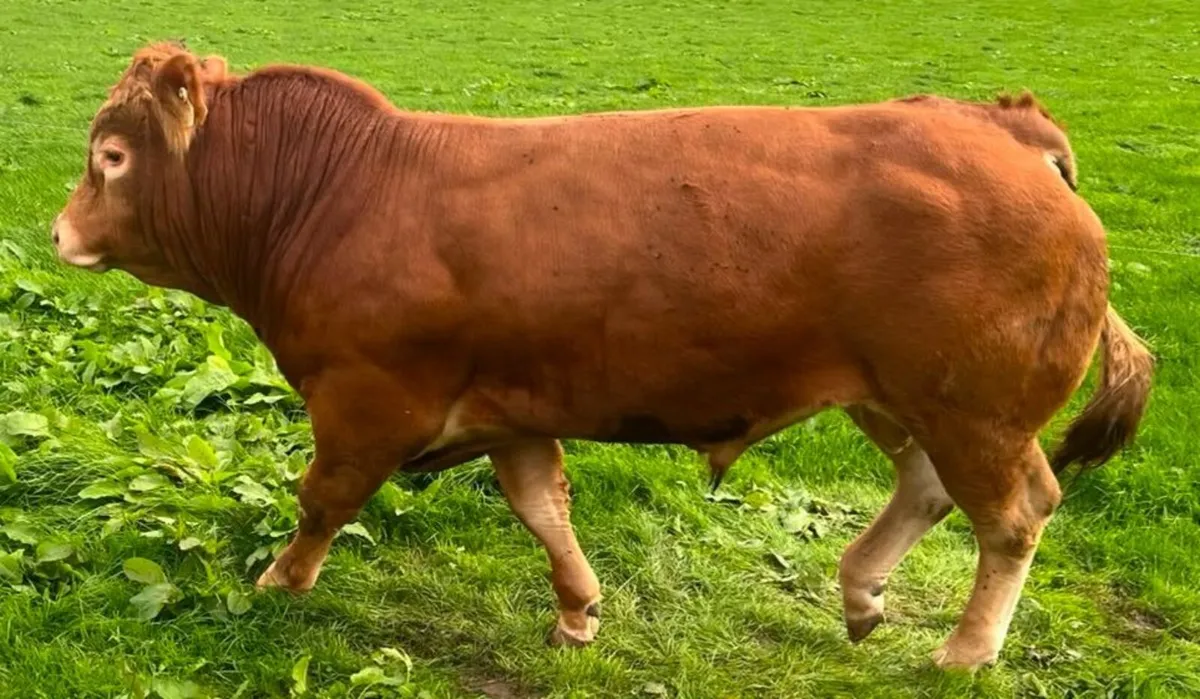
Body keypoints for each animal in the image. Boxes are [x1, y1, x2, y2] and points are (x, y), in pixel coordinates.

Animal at [52, 42, 1153, 671]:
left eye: (111, 156)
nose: (59, 231)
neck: (338, 188)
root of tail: (994, 122)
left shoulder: (369, 400)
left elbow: (322, 496)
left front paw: (280, 581)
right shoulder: (510, 407)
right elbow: (544, 507)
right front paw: (578, 611)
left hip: (976, 405)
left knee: (1014, 514)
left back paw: (964, 649)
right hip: (906, 396)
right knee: (929, 487)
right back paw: (860, 590)